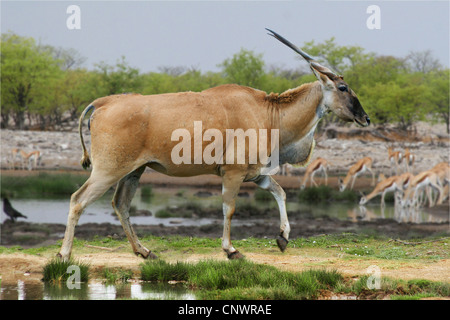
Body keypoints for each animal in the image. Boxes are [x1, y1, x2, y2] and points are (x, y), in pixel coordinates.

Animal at [58, 28, 370, 262]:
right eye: (343, 88)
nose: (365, 118)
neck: (268, 112)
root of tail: (103, 103)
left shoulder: (257, 175)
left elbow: (280, 193)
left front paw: (282, 238)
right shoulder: (232, 174)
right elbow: (228, 208)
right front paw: (230, 249)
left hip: (134, 171)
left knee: (120, 203)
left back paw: (144, 251)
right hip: (108, 170)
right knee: (78, 199)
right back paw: (65, 254)